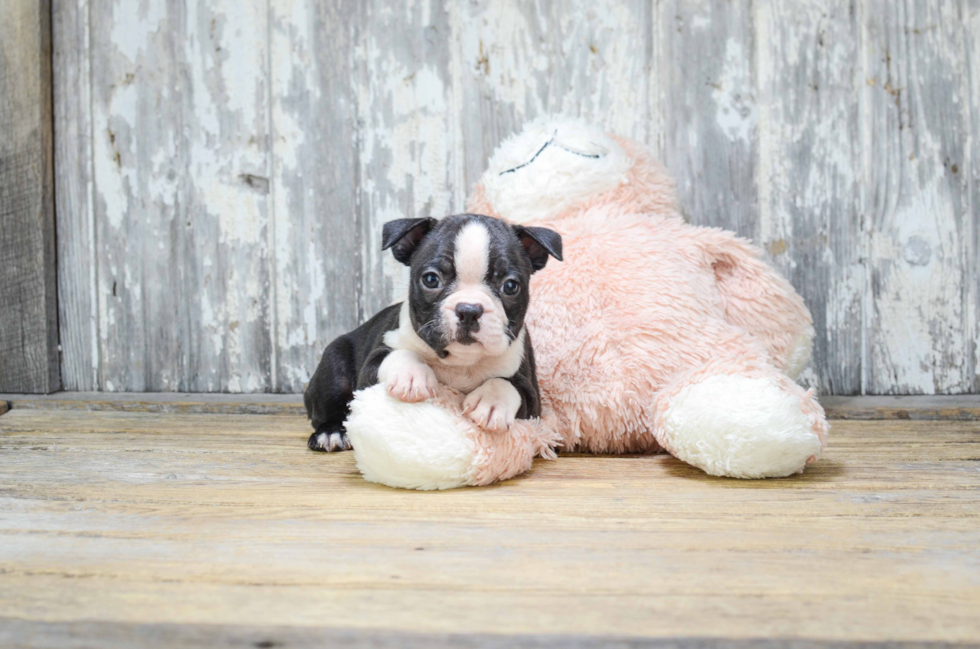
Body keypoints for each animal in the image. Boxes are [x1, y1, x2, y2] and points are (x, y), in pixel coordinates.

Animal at [302, 213, 564, 450]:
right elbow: (397, 354)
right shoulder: (370, 369)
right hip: (334, 364)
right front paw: (411, 374)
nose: (469, 310)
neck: (460, 363)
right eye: (430, 279)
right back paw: (331, 432)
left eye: (510, 286)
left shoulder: (532, 396)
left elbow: (507, 384)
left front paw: (492, 402)